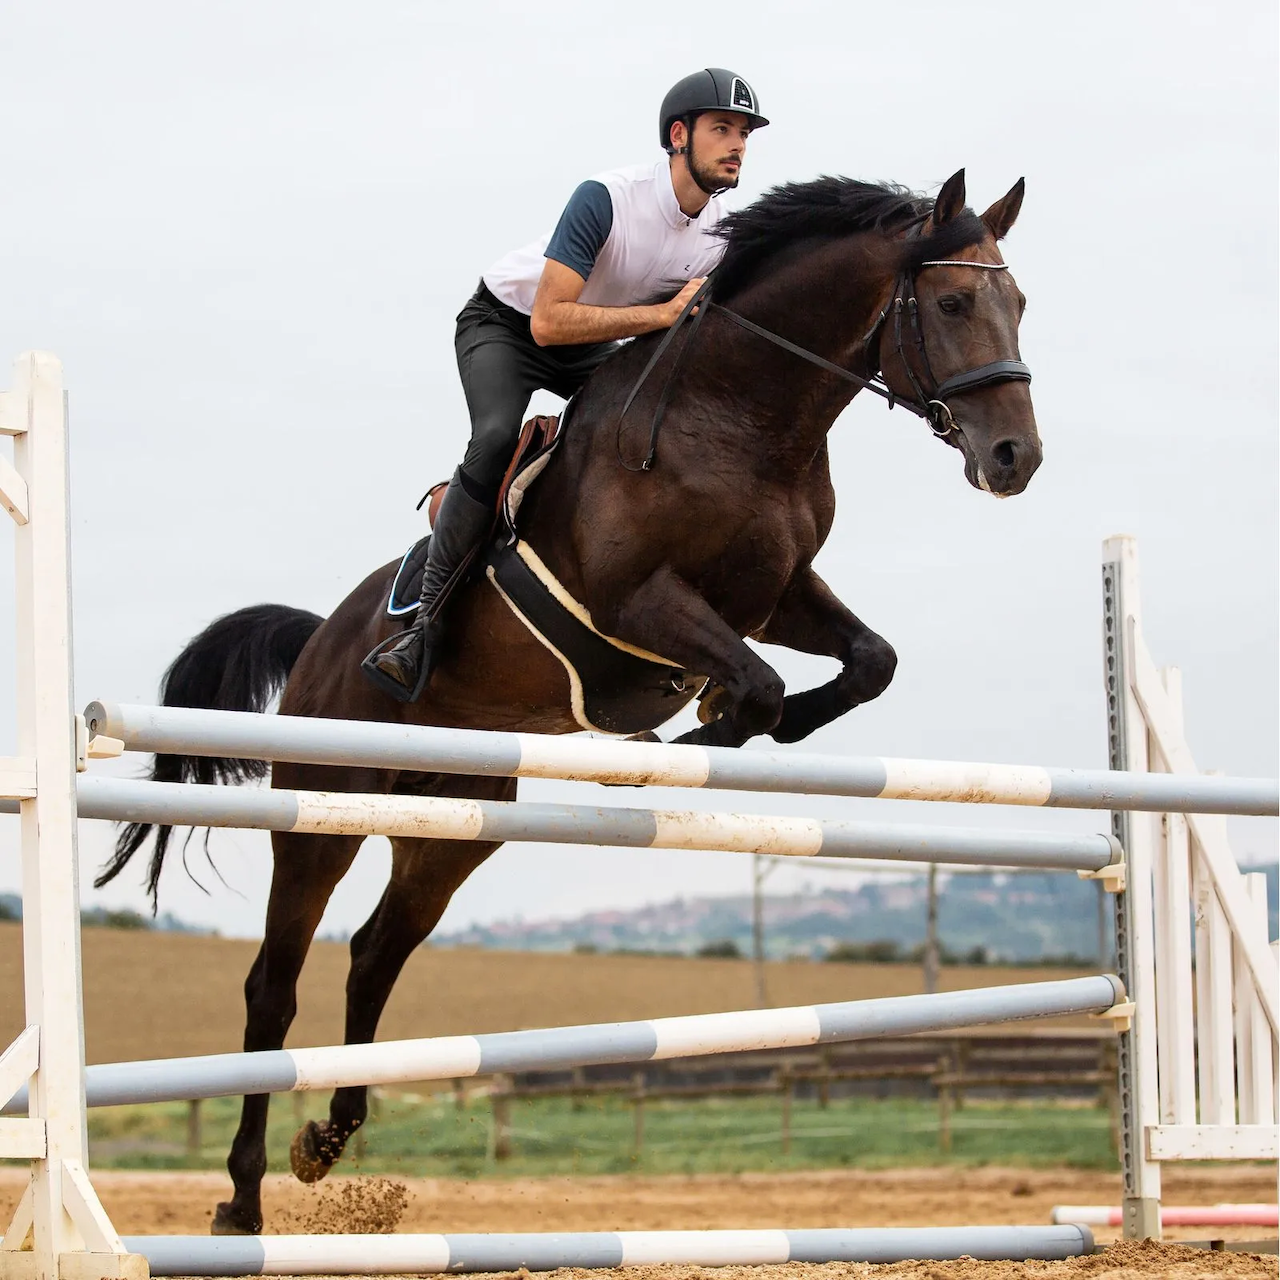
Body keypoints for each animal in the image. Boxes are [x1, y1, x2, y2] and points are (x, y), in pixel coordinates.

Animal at [96, 168, 1038, 1234]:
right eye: (953, 303)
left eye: (1019, 302)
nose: (1017, 457)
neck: (746, 420)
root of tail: (320, 640)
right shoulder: (640, 601)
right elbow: (756, 681)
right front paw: (698, 727)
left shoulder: (781, 593)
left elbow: (868, 661)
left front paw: (728, 723)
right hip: (322, 814)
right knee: (274, 985)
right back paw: (242, 1201)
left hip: (449, 829)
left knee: (375, 954)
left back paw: (327, 1139)